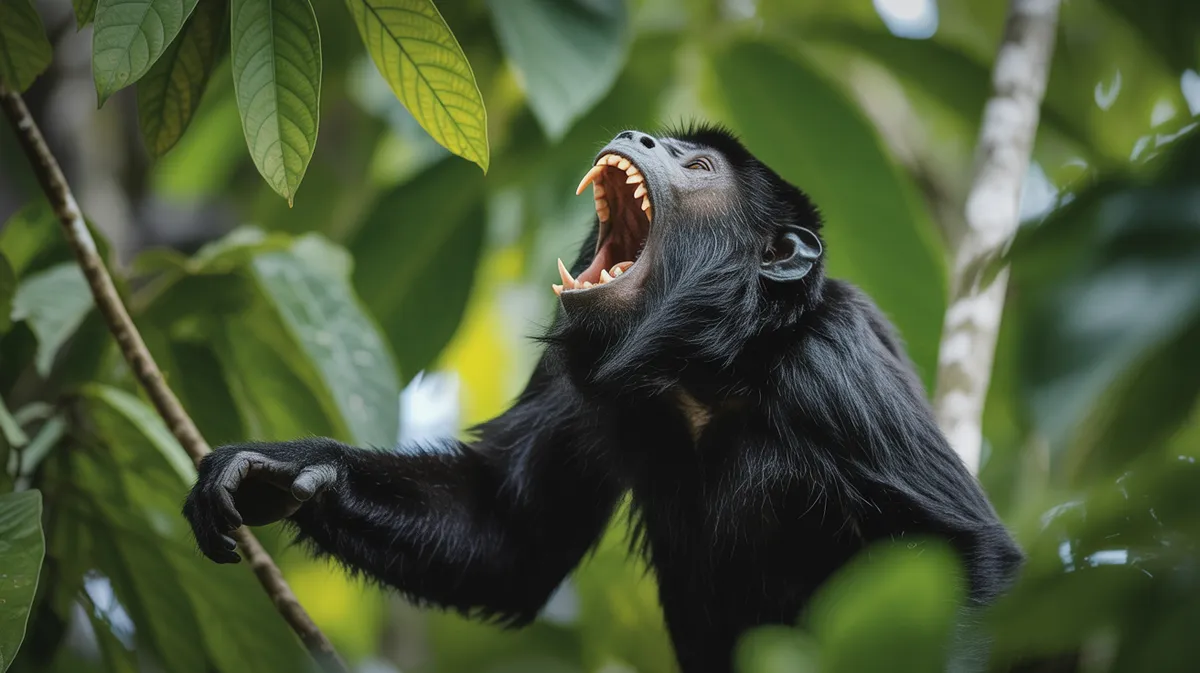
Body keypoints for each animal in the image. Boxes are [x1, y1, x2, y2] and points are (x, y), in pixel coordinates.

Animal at [183, 125, 1023, 673]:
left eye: (698, 163)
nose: (634, 134)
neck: (706, 370)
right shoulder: (577, 382)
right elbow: (509, 534)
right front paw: (288, 468)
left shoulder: (833, 364)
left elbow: (968, 547)